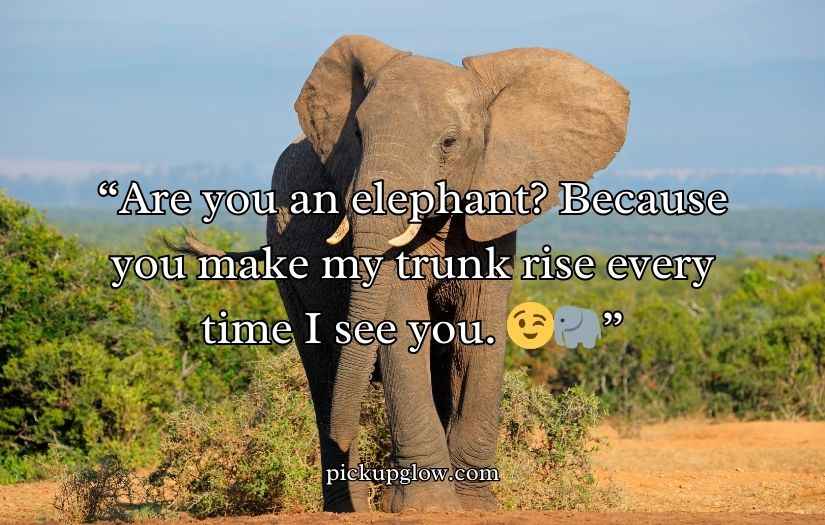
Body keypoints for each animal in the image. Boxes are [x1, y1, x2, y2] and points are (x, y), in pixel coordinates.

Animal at [176, 35, 629, 512]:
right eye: (357, 134)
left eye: (449, 142)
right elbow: (402, 329)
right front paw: (427, 506)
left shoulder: (496, 208)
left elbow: (479, 334)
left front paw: (474, 506)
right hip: (284, 248)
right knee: (323, 368)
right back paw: (346, 507)